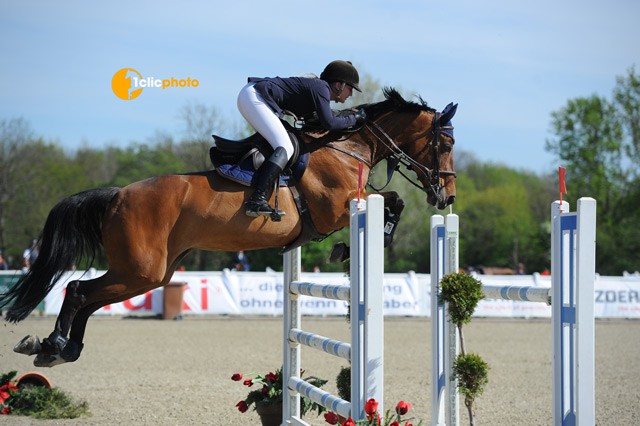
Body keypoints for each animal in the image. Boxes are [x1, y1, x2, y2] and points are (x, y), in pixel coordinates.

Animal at [1, 86, 460, 366]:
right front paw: (358, 244)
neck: (347, 147)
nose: (447, 197)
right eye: (446, 143)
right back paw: (53, 345)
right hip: (141, 269)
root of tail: (117, 195)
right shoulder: (337, 207)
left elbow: (395, 202)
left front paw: (355, 245)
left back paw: (62, 349)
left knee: (91, 298)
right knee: (80, 291)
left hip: (152, 273)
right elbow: (393, 202)